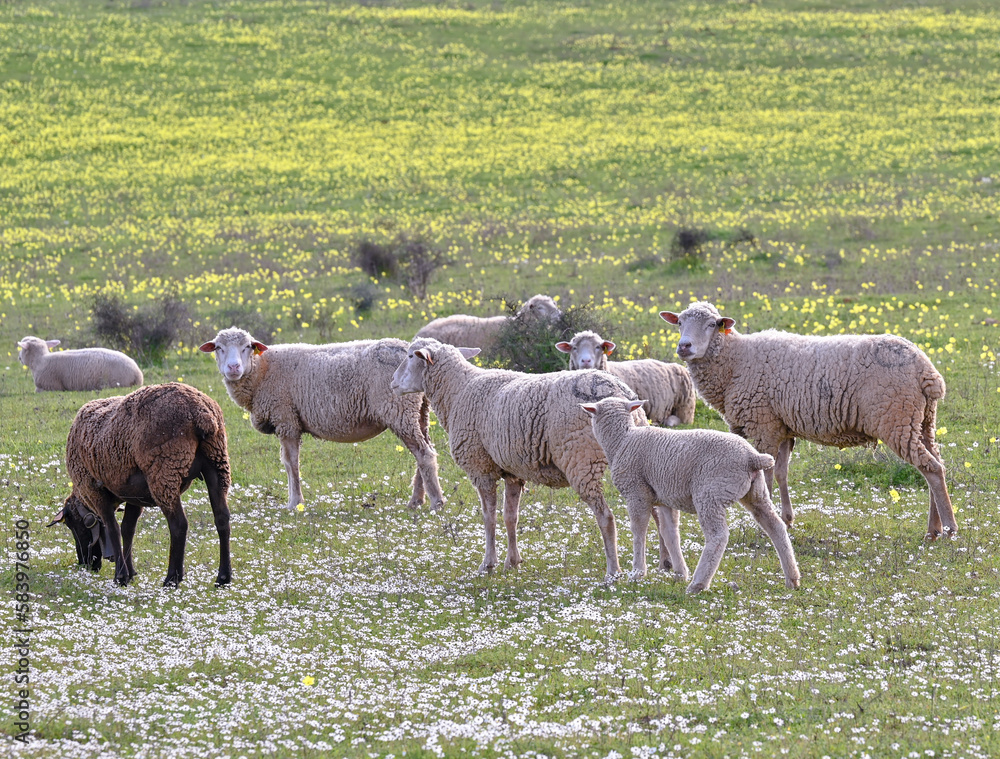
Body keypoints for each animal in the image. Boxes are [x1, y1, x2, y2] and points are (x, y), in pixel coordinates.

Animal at [61, 382, 232, 587]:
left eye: (73, 524)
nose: (84, 564)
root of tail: (201, 412)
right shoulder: (134, 495)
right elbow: (128, 529)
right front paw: (130, 572)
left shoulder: (95, 491)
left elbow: (113, 529)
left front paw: (120, 577)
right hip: (216, 461)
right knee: (222, 518)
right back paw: (223, 577)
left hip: (164, 471)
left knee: (179, 524)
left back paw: (172, 578)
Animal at [199, 328, 445, 511]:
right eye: (219, 348)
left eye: (247, 347)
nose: (233, 368)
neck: (262, 370)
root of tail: (411, 351)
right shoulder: (287, 421)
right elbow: (288, 463)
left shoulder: (286, 419)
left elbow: (291, 463)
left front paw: (295, 503)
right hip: (419, 411)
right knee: (426, 452)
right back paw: (416, 500)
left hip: (399, 410)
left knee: (424, 454)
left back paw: (436, 502)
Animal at [391, 337, 648, 580]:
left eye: (411, 356)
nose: (392, 382)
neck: (458, 391)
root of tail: (621, 395)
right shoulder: (512, 471)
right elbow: (510, 517)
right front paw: (512, 562)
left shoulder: (480, 467)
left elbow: (489, 517)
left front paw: (488, 564)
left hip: (582, 461)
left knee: (606, 517)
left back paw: (613, 572)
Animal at [581, 396, 800, 593]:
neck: (622, 441)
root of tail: (753, 458)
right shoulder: (665, 498)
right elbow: (670, 533)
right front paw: (680, 572)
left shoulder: (637, 492)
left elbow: (639, 530)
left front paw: (637, 572)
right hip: (756, 492)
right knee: (775, 526)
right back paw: (792, 578)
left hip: (710, 494)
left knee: (718, 536)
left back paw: (698, 584)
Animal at [660, 301, 956, 539]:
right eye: (680, 323)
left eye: (712, 324)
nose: (684, 347)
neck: (735, 361)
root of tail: (927, 371)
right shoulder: (781, 427)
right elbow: (781, 472)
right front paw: (787, 519)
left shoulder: (763, 425)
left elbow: (767, 476)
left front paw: (768, 523)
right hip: (923, 420)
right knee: (935, 464)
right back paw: (934, 527)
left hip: (896, 418)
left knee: (931, 468)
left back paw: (948, 528)